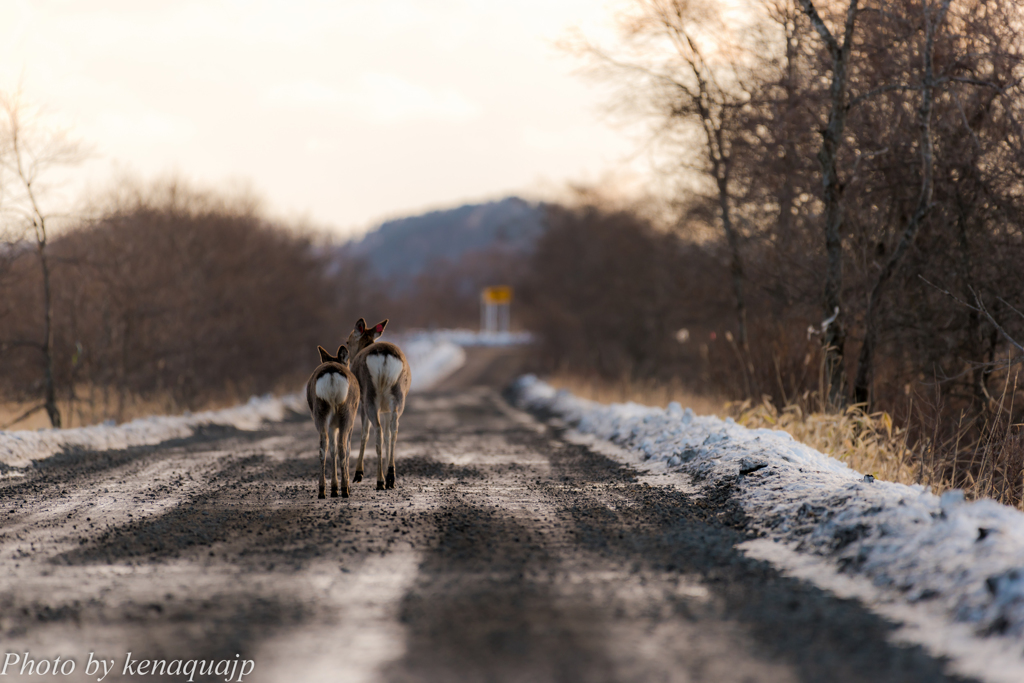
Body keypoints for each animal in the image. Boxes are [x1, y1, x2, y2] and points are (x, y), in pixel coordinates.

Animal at [303, 348, 360, 497]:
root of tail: (332, 375)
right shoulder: (349, 424)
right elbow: (347, 449)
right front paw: (341, 487)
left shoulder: (332, 425)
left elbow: (332, 450)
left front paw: (334, 488)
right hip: (347, 412)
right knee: (342, 447)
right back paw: (345, 489)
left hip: (320, 411)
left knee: (323, 447)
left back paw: (322, 490)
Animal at [348, 317, 411, 489]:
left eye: (348, 342)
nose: (348, 360)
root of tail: (384, 357)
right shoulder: (386, 410)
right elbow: (389, 436)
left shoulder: (362, 403)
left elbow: (364, 433)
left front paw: (358, 474)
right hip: (397, 397)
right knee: (393, 431)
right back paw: (390, 477)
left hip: (370, 395)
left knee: (378, 430)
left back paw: (380, 480)